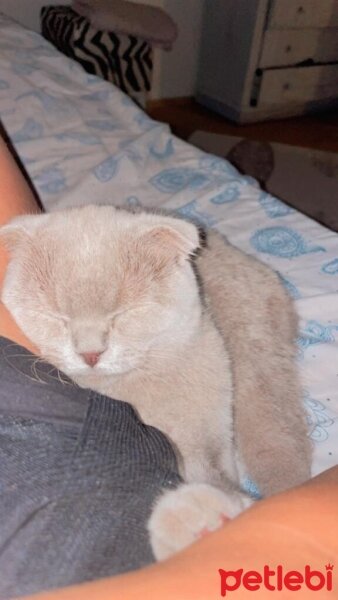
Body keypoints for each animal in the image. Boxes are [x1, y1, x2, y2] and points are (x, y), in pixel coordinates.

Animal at [0, 205, 312, 556]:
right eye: (56, 318)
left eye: (122, 314)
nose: (91, 353)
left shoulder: (210, 443)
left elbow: (216, 477)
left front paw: (196, 518)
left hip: (254, 351)